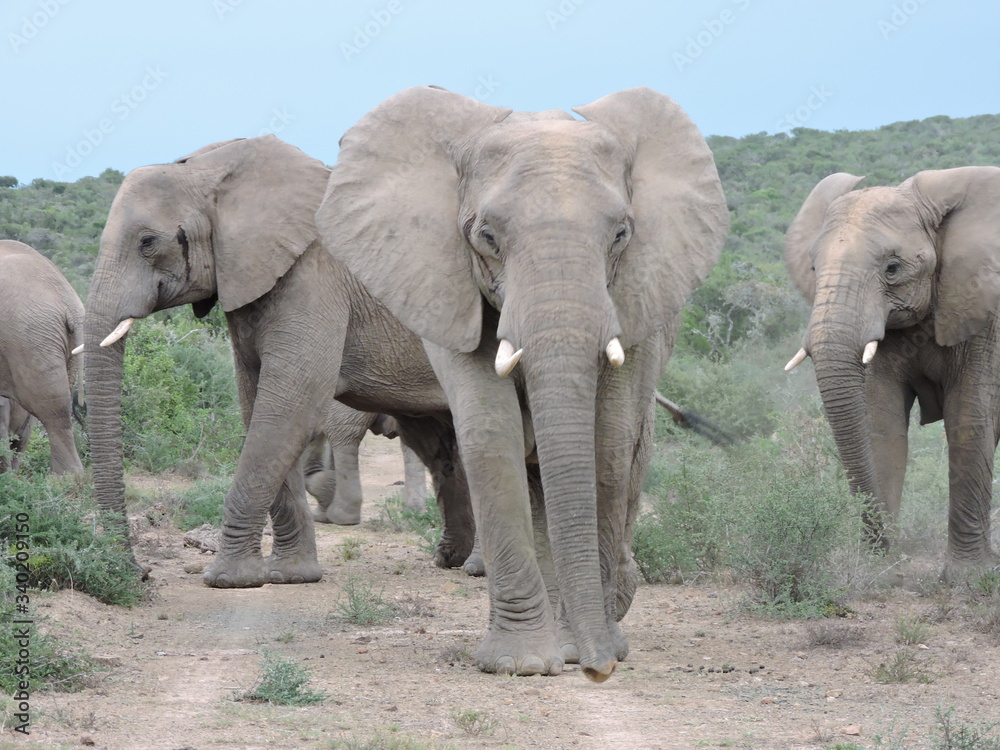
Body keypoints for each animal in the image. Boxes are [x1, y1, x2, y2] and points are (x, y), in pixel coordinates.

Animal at [84, 136, 475, 587]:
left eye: (147, 242)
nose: (141, 572)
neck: (212, 173)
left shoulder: (314, 277)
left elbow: (289, 406)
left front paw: (229, 580)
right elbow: (259, 406)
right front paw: (291, 575)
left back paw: (476, 566)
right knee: (440, 444)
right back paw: (453, 560)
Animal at [317, 86, 728, 681]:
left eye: (621, 233)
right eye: (486, 236)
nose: (598, 671)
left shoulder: (640, 295)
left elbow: (607, 443)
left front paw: (586, 647)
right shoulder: (444, 282)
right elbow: (491, 436)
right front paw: (523, 664)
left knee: (630, 453)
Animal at [783, 167, 1000, 572]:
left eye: (892, 268)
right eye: (814, 268)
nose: (890, 552)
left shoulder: (988, 316)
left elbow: (968, 419)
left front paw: (965, 578)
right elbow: (881, 424)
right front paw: (879, 574)